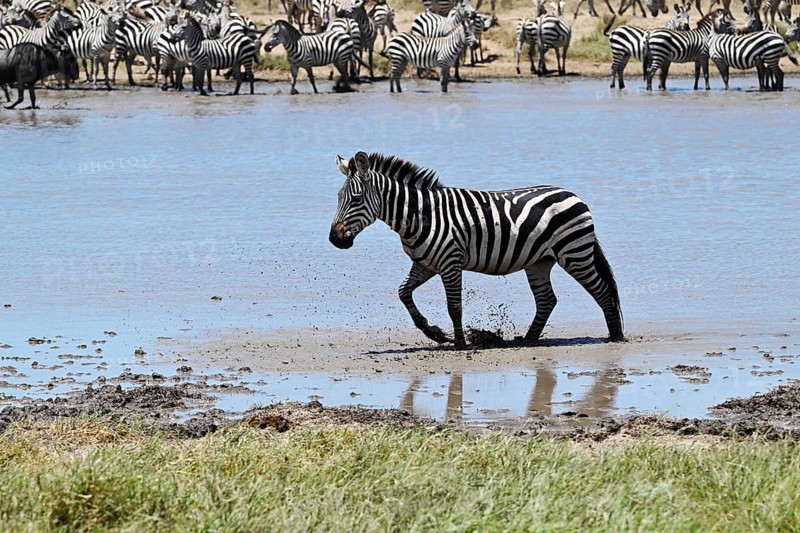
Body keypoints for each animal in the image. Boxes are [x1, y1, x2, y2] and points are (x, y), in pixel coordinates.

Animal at [329, 152, 626, 348]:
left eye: (356, 199)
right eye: (338, 197)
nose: (334, 239)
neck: (421, 216)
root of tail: (573, 195)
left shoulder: (450, 262)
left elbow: (454, 307)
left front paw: (460, 343)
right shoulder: (425, 264)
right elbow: (403, 293)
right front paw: (433, 333)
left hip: (574, 254)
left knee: (601, 290)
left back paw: (615, 335)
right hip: (539, 262)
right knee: (547, 300)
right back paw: (528, 340)